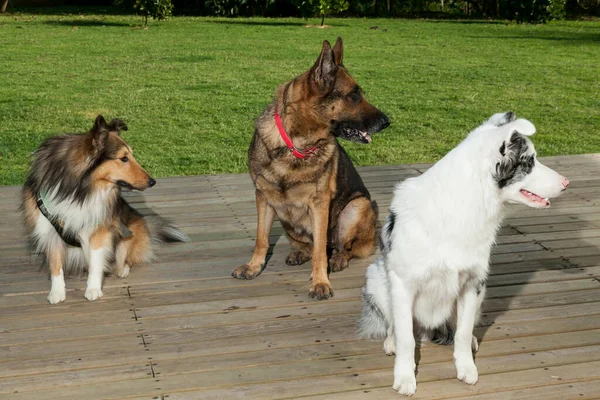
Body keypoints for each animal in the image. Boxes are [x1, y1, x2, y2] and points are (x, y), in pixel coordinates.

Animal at [22, 115, 188, 304]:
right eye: (124, 158)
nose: (152, 181)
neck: (78, 190)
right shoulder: (48, 229)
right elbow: (55, 264)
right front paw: (57, 292)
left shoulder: (99, 230)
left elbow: (96, 262)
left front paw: (93, 289)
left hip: (127, 235)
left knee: (123, 260)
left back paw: (121, 270)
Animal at [232, 38, 392, 300]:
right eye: (354, 95)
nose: (387, 122)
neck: (296, 145)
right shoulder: (263, 198)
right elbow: (261, 238)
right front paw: (254, 266)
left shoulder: (320, 204)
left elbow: (319, 252)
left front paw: (320, 282)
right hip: (286, 220)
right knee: (308, 244)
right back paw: (300, 253)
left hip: (356, 207)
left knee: (344, 247)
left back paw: (338, 259)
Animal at [358, 111, 568, 394]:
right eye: (530, 161)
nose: (567, 183)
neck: (466, 204)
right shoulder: (403, 285)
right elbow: (406, 339)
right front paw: (405, 377)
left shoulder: (473, 283)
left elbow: (463, 332)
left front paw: (466, 367)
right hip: (376, 279)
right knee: (395, 326)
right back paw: (391, 342)